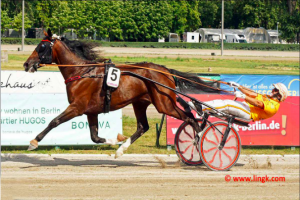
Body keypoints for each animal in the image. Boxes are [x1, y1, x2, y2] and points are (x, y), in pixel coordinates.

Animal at [24, 29, 218, 158]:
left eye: (41, 46)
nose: (27, 64)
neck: (82, 72)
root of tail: (165, 71)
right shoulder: (91, 111)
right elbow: (95, 137)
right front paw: (116, 140)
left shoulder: (77, 107)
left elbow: (54, 121)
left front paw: (34, 141)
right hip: (140, 102)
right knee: (143, 127)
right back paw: (121, 149)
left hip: (164, 104)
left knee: (190, 118)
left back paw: (200, 140)